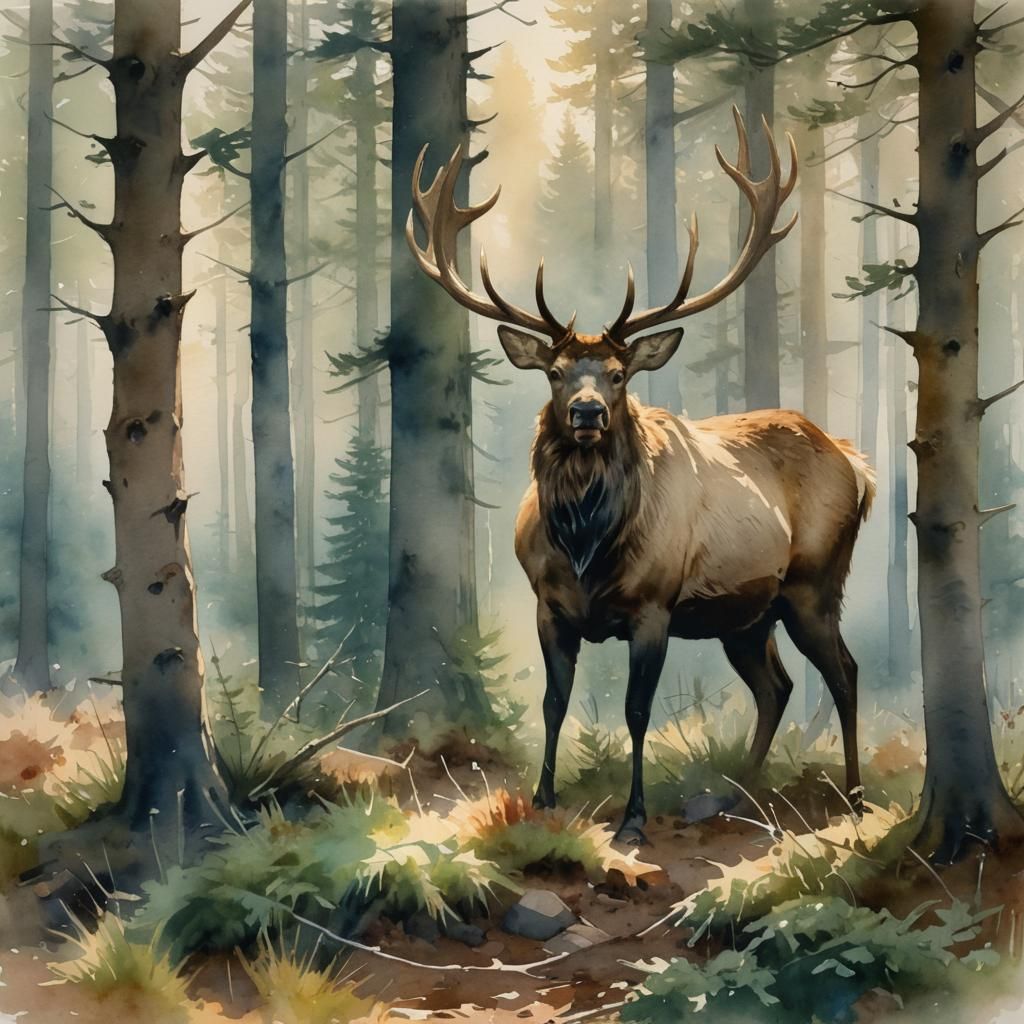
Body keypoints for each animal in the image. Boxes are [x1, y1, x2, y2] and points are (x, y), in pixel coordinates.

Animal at [407, 108, 875, 844]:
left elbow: (635, 710)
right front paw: (542, 798)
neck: (586, 545)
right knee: (776, 687)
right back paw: (737, 793)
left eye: (620, 373)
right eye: (555, 371)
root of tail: (858, 463)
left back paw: (854, 798)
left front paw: (632, 819)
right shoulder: (549, 605)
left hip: (813, 582)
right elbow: (553, 702)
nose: (588, 411)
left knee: (846, 673)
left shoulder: (654, 605)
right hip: (747, 613)